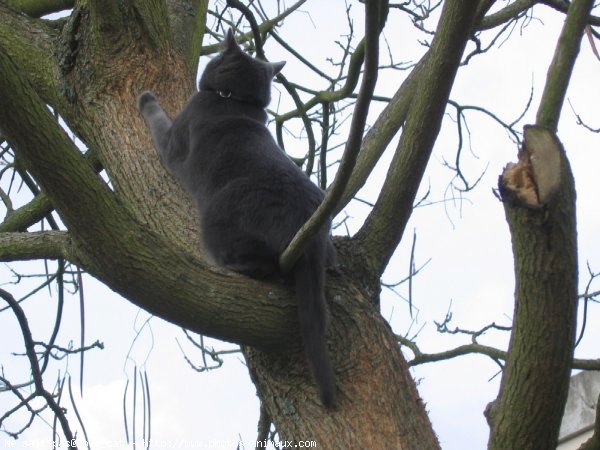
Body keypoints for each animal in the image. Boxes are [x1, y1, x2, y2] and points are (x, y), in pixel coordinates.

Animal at [138, 28, 340, 408]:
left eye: (218, 55)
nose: (214, 55)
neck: (234, 99)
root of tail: (309, 237)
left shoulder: (173, 140)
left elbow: (158, 120)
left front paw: (146, 99)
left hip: (218, 216)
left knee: (262, 263)